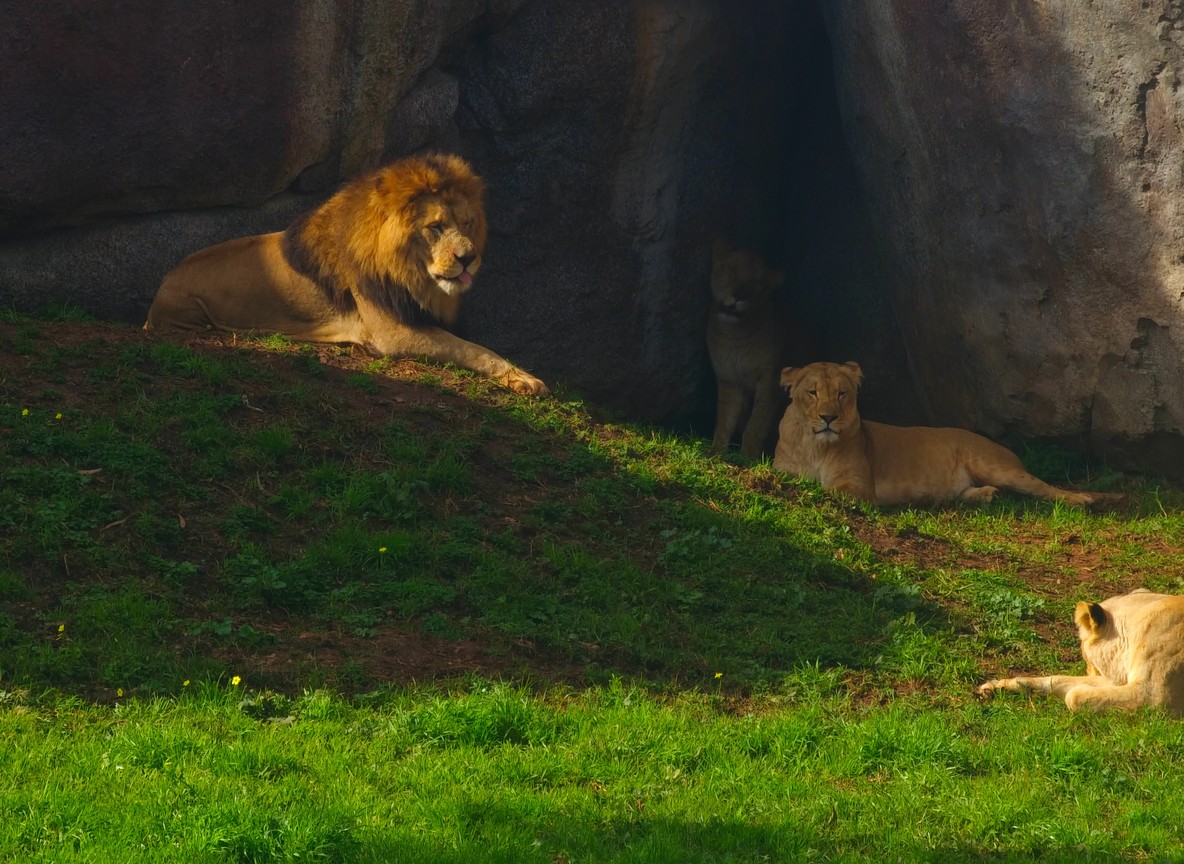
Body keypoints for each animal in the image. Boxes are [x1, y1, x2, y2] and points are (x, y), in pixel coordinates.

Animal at [145, 152, 548, 396]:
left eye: (467, 223)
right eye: (435, 226)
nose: (468, 259)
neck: (411, 274)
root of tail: (161, 285)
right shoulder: (391, 334)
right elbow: (471, 348)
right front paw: (525, 378)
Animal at [707, 239, 810, 459]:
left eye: (757, 285)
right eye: (732, 271)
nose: (739, 296)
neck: (734, 336)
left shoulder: (771, 380)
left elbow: (757, 422)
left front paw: (747, 456)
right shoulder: (728, 380)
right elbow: (724, 418)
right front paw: (716, 451)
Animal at [772, 361, 1107, 507]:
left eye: (842, 394)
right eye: (813, 392)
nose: (829, 418)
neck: (817, 447)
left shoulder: (859, 487)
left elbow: (829, 490)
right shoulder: (783, 470)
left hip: (997, 467)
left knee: (1043, 488)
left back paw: (1082, 499)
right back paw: (986, 495)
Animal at [978, 589, 1184, 716]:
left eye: (1085, 657)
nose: (1088, 671)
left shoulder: (1154, 695)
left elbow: (1074, 695)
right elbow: (1057, 680)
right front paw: (1000, 686)